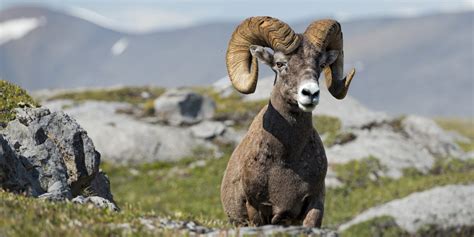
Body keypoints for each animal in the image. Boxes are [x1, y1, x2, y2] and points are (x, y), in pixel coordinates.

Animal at [220, 17, 354, 228]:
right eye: (280, 63)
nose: (310, 93)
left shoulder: (315, 203)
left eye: (321, 64)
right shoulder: (256, 209)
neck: (286, 158)